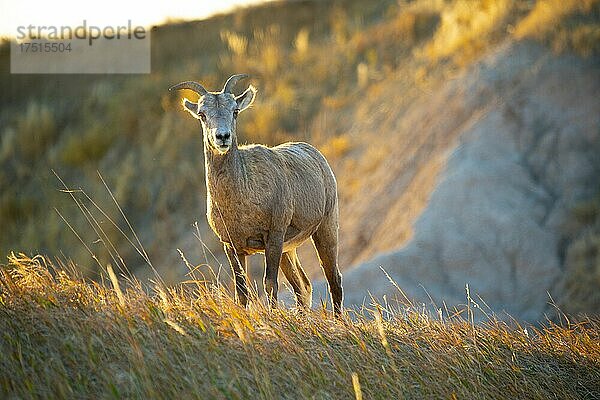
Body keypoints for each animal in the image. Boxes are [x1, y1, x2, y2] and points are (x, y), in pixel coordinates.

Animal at [171, 74, 344, 312]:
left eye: (235, 111)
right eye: (202, 114)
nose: (222, 137)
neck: (241, 201)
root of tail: (316, 155)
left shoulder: (273, 238)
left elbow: (269, 284)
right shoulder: (232, 247)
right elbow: (242, 292)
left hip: (324, 230)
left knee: (333, 279)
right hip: (289, 250)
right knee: (303, 286)